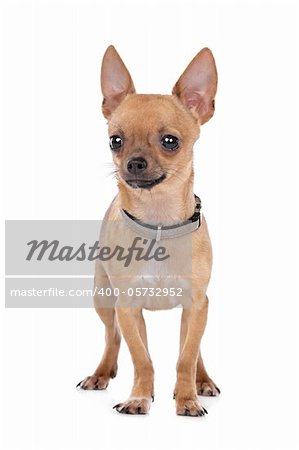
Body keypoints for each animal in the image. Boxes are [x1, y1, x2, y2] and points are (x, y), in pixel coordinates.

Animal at [78, 45, 220, 414]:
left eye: (170, 141)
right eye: (115, 141)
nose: (134, 163)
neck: (158, 222)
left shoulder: (197, 305)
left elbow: (186, 357)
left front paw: (187, 398)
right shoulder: (127, 307)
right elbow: (142, 358)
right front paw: (139, 397)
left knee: (194, 350)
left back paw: (202, 380)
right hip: (103, 297)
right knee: (112, 337)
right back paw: (102, 373)